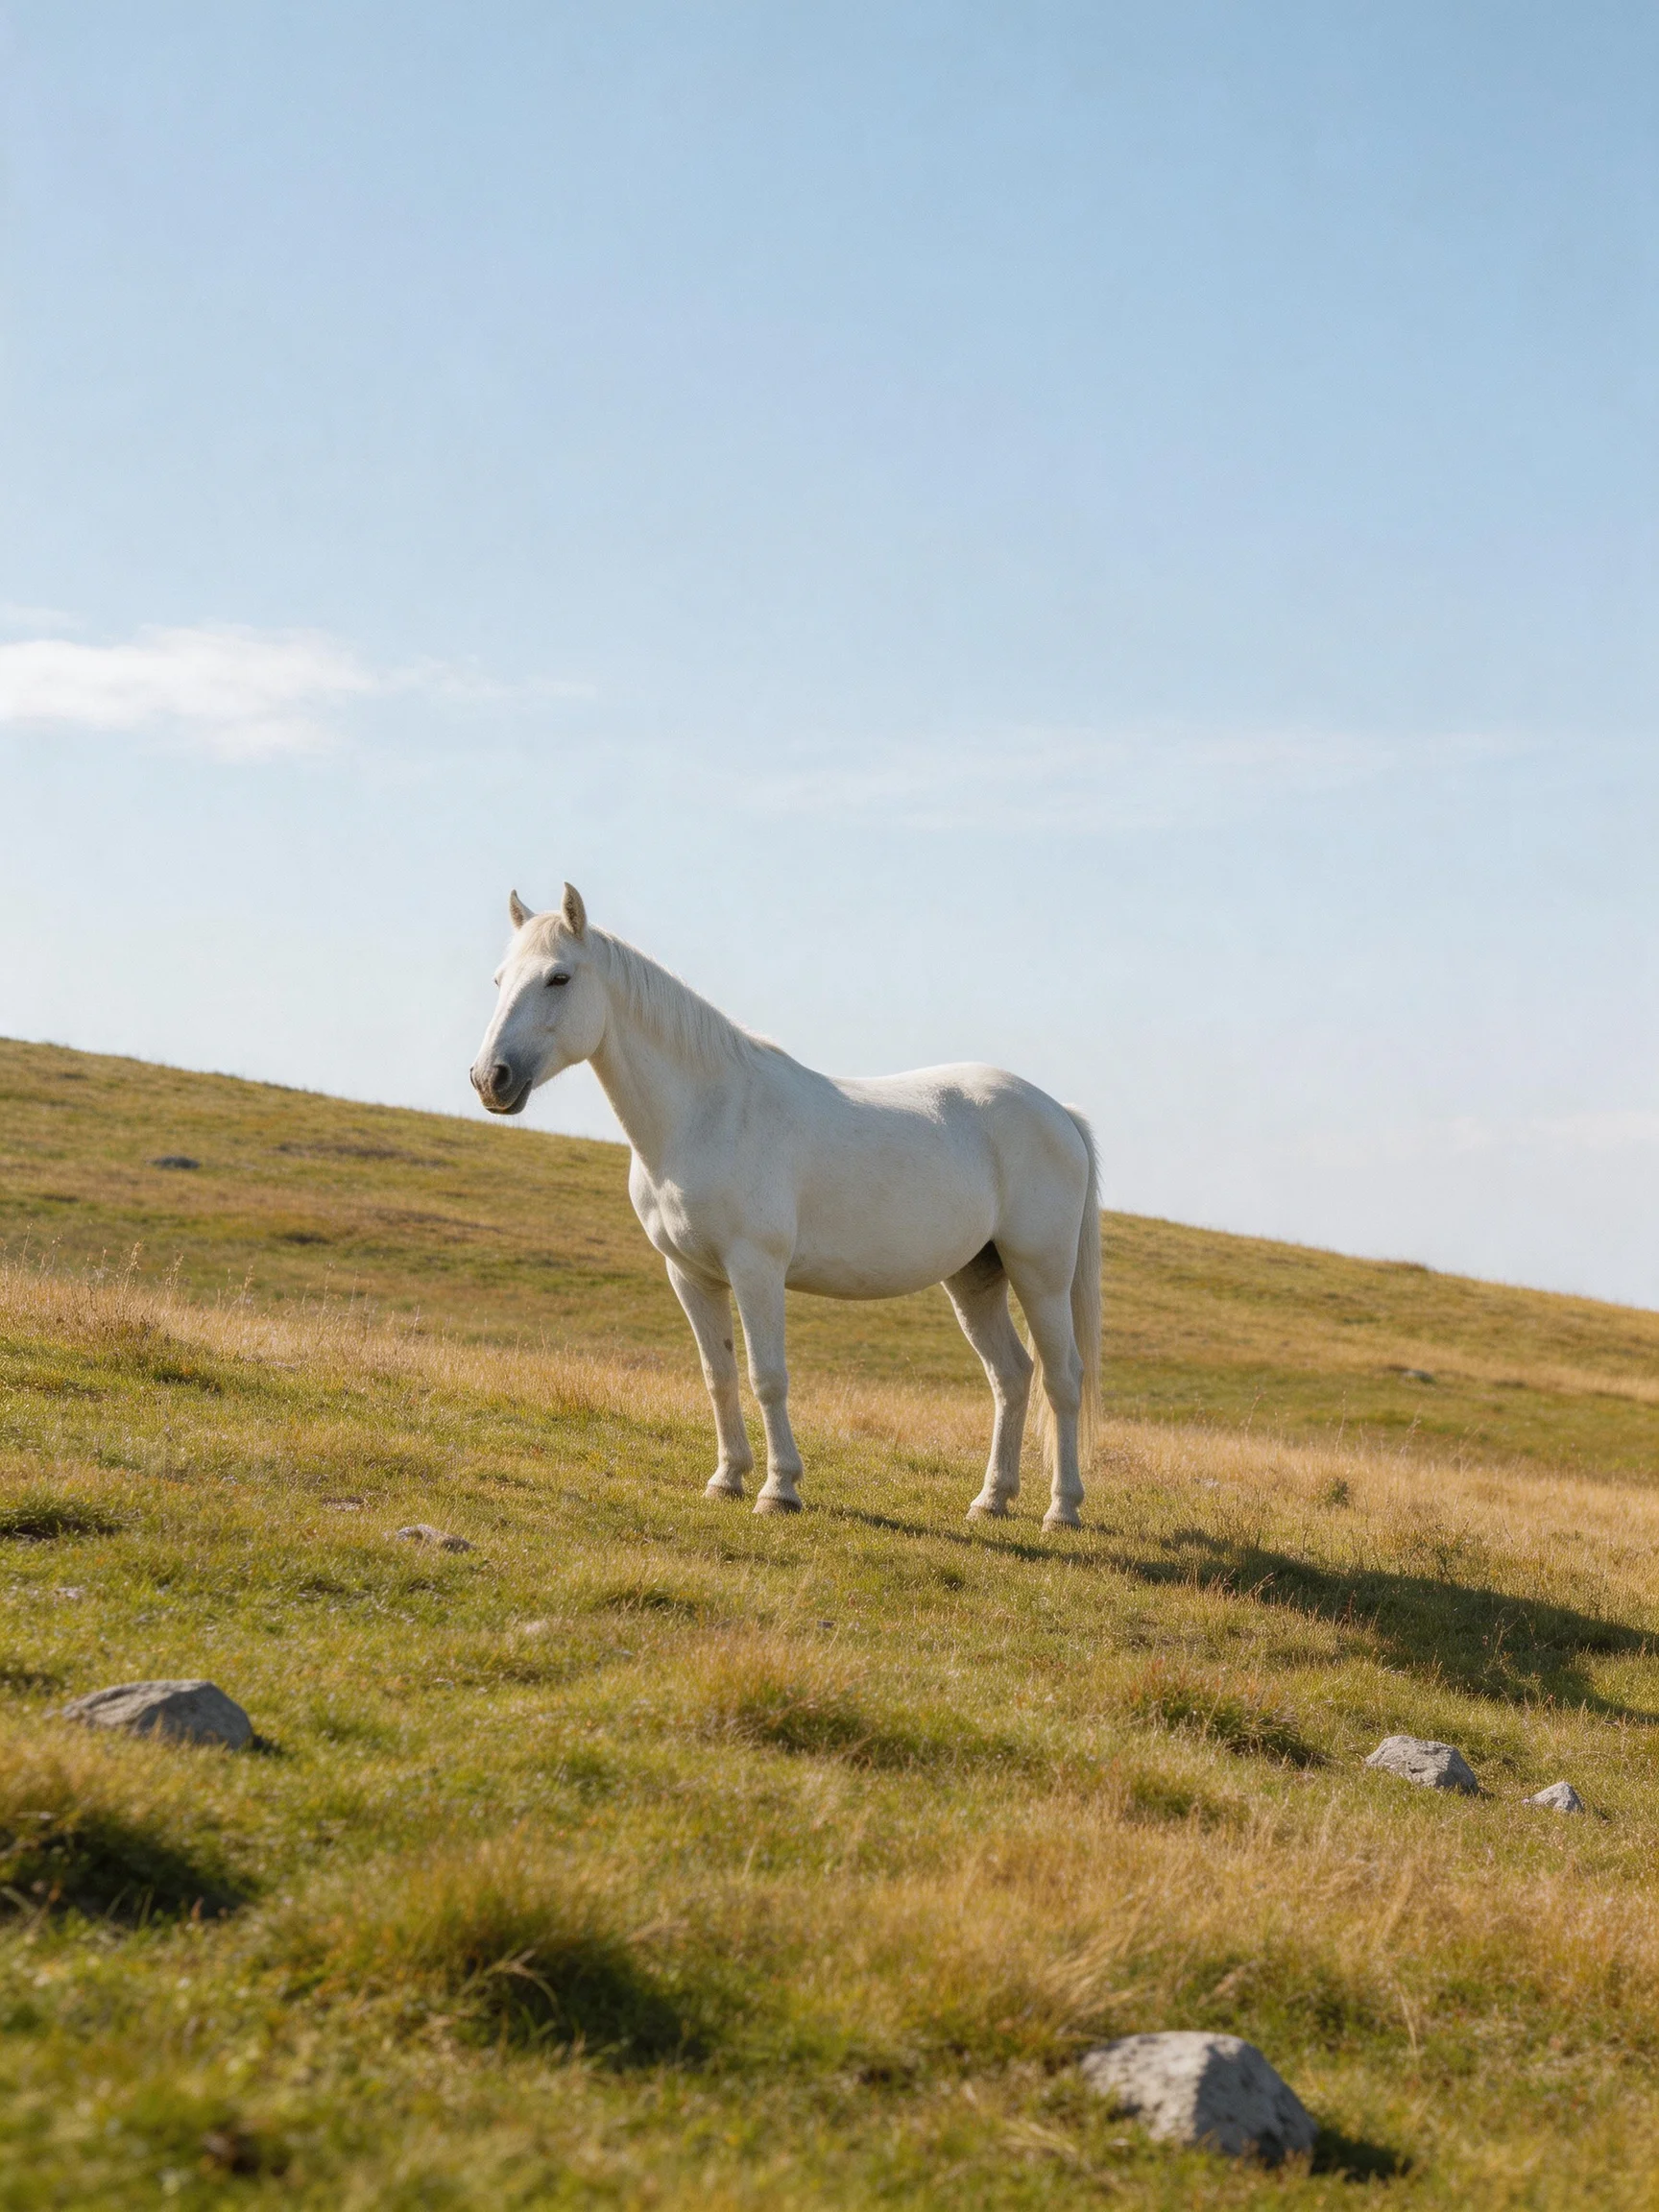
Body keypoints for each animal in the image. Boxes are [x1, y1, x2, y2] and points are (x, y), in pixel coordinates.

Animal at [470, 885, 1100, 1529]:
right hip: (975, 1278)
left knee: (1062, 1380)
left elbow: (766, 1377)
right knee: (1011, 1376)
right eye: (499, 979)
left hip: (1040, 1275)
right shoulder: (690, 1275)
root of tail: (1059, 1113)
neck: (709, 1115)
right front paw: (726, 1479)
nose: (490, 1079)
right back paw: (992, 1499)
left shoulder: (756, 1270)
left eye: (559, 977)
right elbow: (718, 1375)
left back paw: (1062, 1509)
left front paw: (779, 1490)